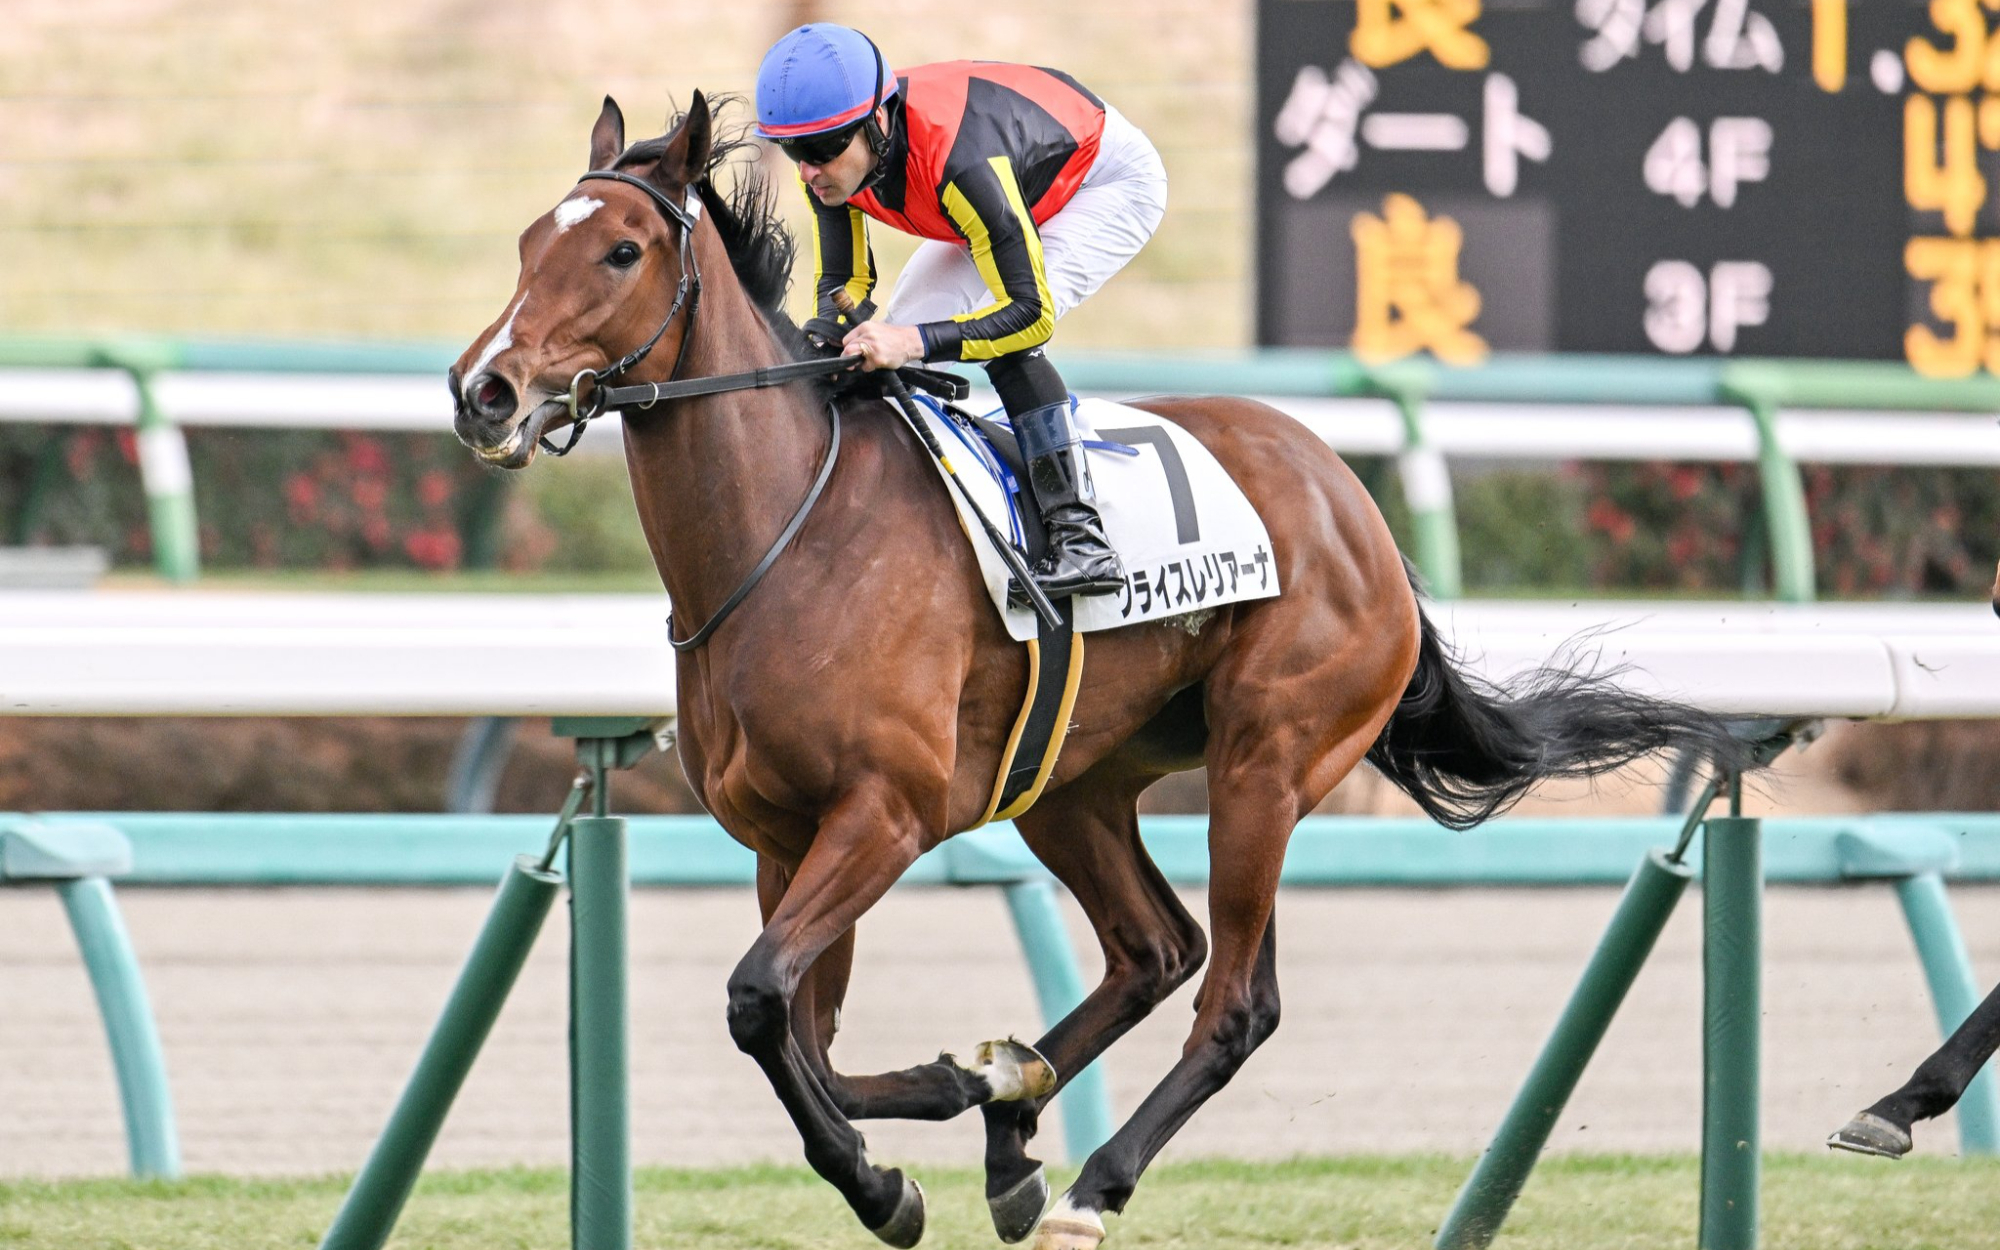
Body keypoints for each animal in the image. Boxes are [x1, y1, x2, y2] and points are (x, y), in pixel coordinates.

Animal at [447, 93, 1757, 1250]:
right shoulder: (782, 834)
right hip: (1075, 782)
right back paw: (1011, 1112)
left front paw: (890, 1178)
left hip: (1263, 764)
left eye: (620, 249)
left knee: (1232, 1000)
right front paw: (949, 1109)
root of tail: (1357, 510)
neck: (785, 532)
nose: (483, 389)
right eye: (523, 243)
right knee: (1153, 949)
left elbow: (762, 1001)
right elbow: (799, 1030)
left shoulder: (884, 813)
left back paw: (1088, 1178)